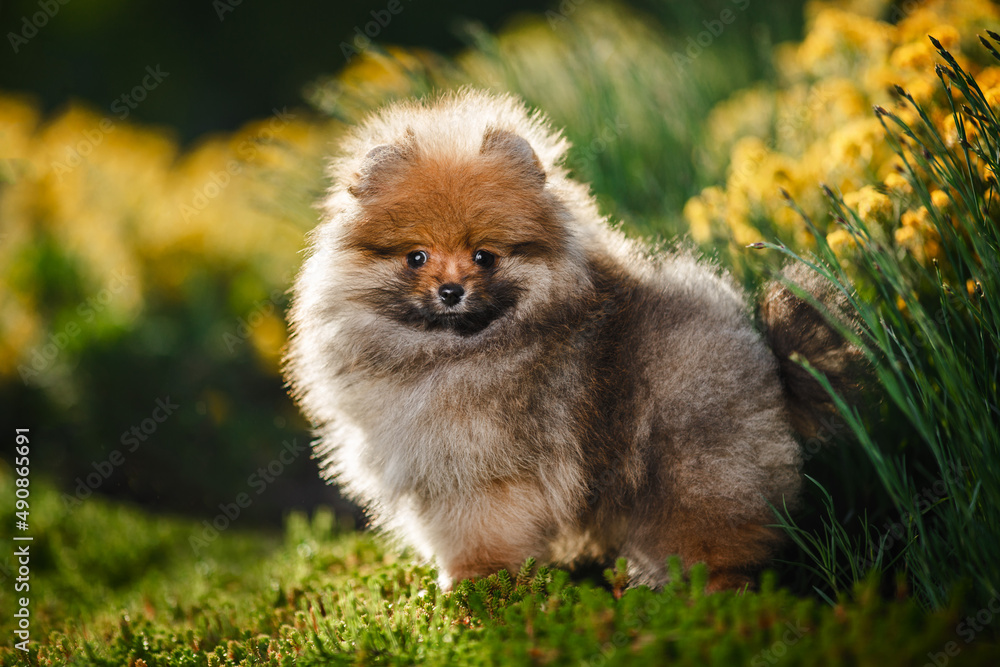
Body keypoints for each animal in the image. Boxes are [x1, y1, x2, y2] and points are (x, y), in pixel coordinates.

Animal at [284, 90, 860, 596]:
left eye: (484, 256)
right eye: (416, 257)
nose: (451, 291)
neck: (447, 353)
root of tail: (771, 364)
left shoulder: (484, 472)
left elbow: (479, 534)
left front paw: (472, 583)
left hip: (696, 468)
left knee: (720, 538)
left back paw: (712, 593)